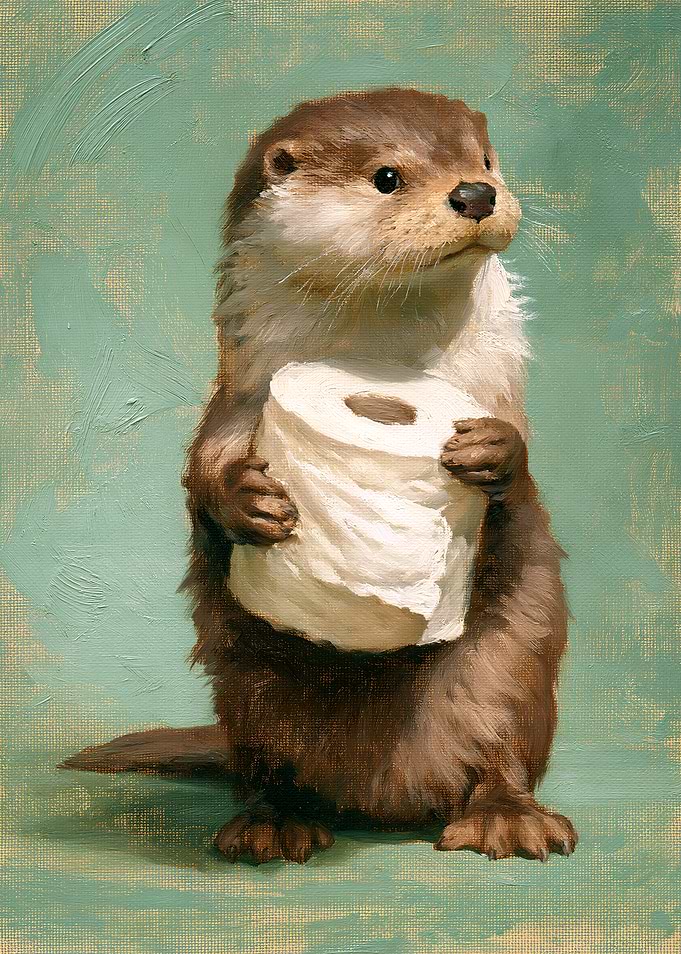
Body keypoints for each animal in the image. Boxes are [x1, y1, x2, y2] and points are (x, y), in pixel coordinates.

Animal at [62, 88, 577, 865]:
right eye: (387, 177)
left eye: (485, 159)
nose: (476, 193)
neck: (381, 356)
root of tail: (385, 797)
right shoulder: (242, 398)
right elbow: (201, 466)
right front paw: (244, 500)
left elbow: (522, 482)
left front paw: (494, 450)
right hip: (252, 692)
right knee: (269, 765)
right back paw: (272, 825)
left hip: (515, 671)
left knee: (505, 748)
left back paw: (506, 819)